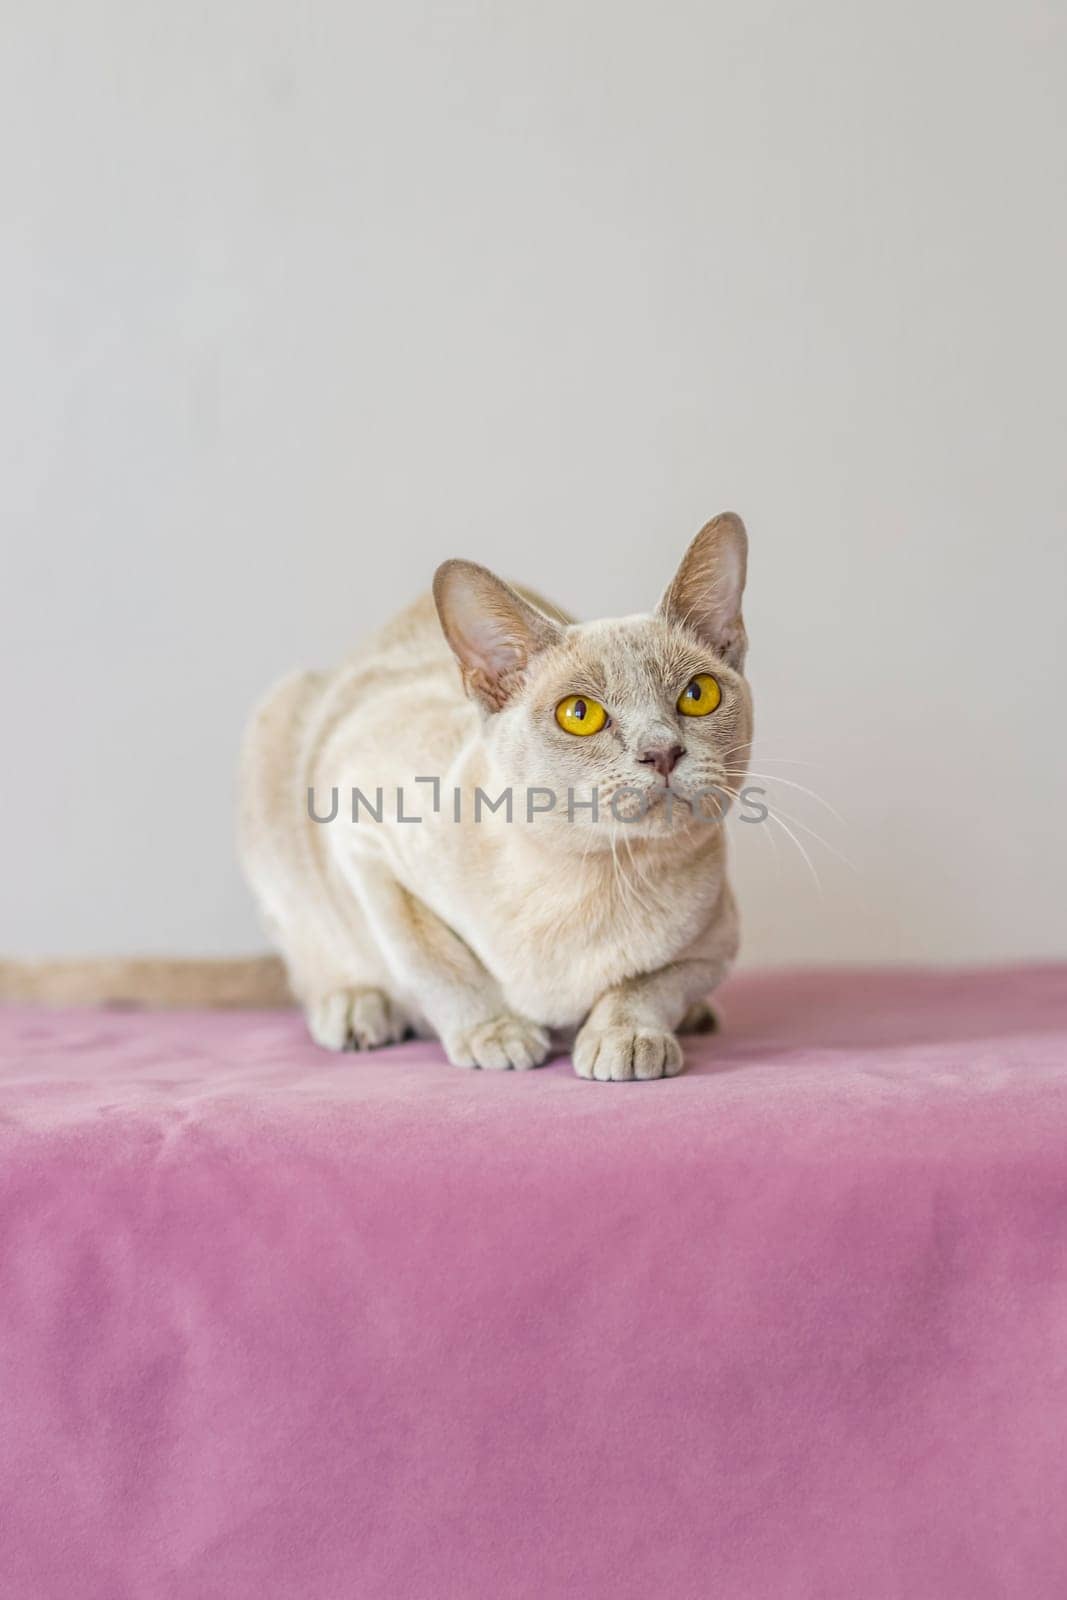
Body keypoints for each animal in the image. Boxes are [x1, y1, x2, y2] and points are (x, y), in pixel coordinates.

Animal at [235, 515, 751, 1088]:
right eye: (580, 714)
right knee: (314, 959)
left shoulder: (713, 947)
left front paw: (625, 1037)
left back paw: (695, 1017)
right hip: (276, 734)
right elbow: (434, 963)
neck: (596, 872)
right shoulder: (361, 837)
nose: (662, 752)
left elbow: (649, 985)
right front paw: (498, 1034)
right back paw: (355, 1009)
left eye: (698, 695)